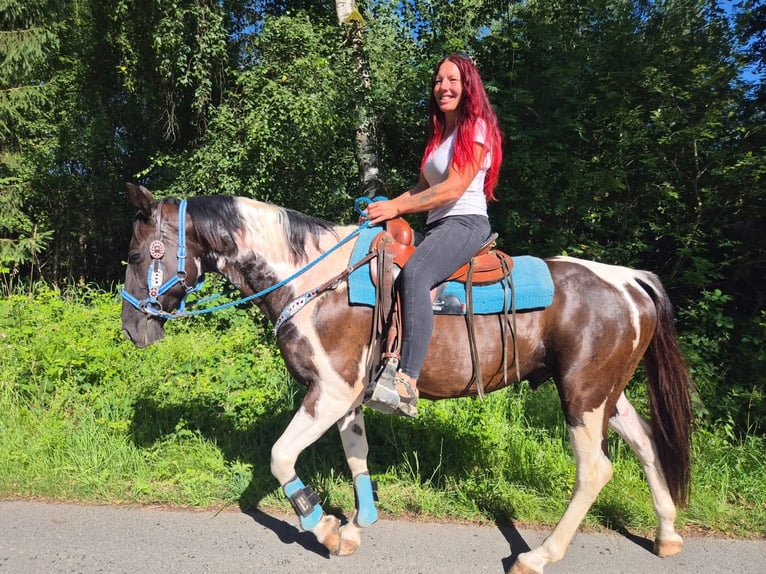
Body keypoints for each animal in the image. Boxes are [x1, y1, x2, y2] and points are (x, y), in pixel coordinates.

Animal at [120, 183, 694, 574]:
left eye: (135, 253)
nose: (131, 328)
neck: (313, 279)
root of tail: (630, 280)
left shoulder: (329, 392)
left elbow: (281, 456)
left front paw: (323, 528)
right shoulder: (349, 396)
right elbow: (357, 453)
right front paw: (357, 525)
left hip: (581, 396)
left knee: (595, 469)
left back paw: (538, 555)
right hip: (606, 394)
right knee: (646, 444)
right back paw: (666, 533)